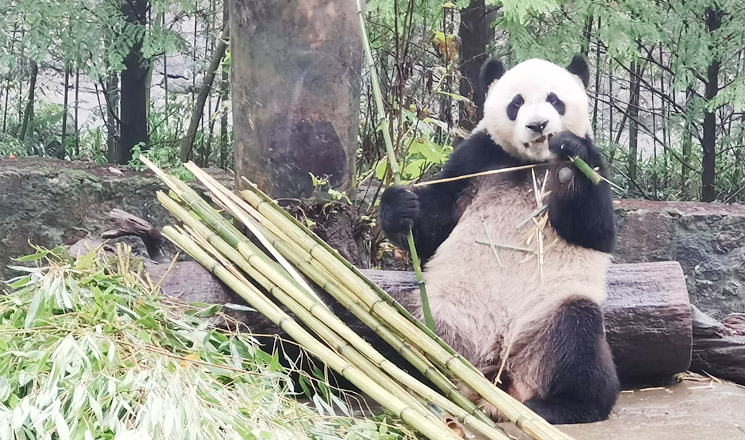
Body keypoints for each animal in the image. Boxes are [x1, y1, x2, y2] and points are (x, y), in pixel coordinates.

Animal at [379, 54, 620, 424]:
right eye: (516, 104)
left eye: (555, 100)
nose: (538, 126)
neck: (529, 164)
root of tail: (496, 383)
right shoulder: (477, 159)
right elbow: (434, 224)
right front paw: (401, 205)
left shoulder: (596, 165)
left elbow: (596, 229)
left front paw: (570, 163)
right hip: (445, 313)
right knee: (407, 333)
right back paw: (417, 383)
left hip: (546, 316)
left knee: (580, 336)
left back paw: (563, 406)